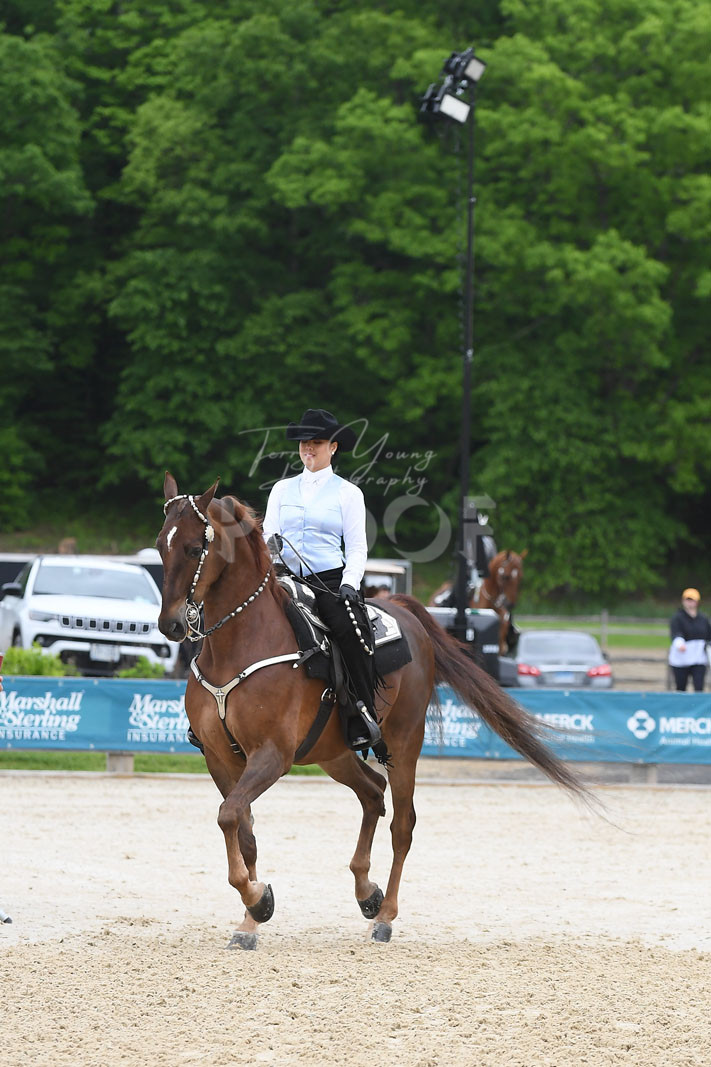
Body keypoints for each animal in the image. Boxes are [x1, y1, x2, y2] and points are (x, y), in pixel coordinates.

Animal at [156, 475, 585, 948]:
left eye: (194, 547)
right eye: (160, 545)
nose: (170, 624)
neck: (241, 644)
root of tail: (405, 610)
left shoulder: (272, 756)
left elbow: (230, 814)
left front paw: (257, 900)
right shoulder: (220, 758)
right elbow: (241, 827)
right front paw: (252, 916)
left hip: (403, 742)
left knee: (402, 824)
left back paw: (385, 915)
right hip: (334, 752)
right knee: (372, 793)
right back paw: (367, 893)